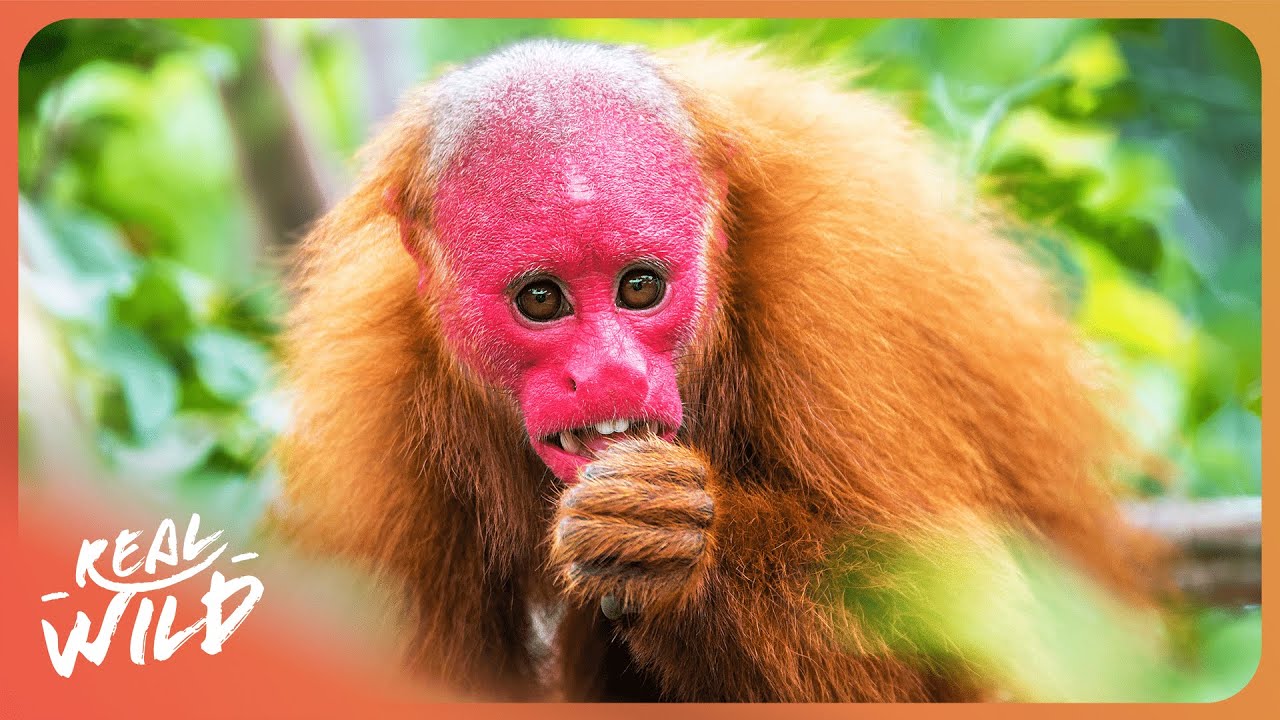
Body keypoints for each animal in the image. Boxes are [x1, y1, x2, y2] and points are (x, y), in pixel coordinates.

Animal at [277, 39, 1166, 702]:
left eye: (641, 286)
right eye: (541, 300)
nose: (609, 373)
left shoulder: (842, 298)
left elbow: (968, 654)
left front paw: (678, 546)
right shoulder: (377, 414)